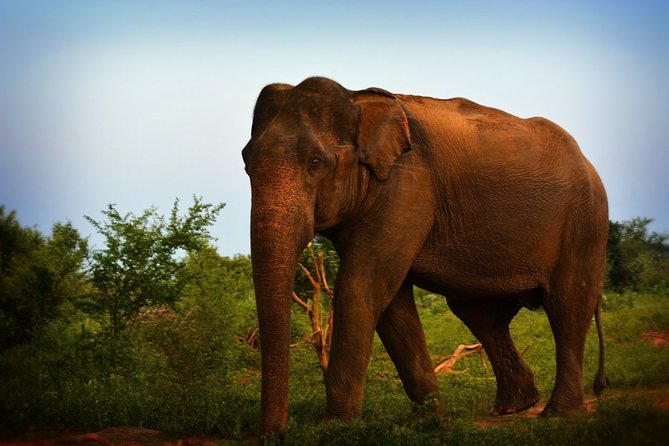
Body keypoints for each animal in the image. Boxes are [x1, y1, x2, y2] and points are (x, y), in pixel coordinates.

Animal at [242, 77, 609, 435]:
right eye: (246, 164)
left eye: (315, 163)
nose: (276, 434)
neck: (356, 99)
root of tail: (589, 163)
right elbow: (391, 306)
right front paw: (429, 421)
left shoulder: (407, 187)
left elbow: (359, 289)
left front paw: (336, 427)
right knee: (479, 314)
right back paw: (514, 407)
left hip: (586, 220)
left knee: (567, 306)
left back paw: (558, 414)